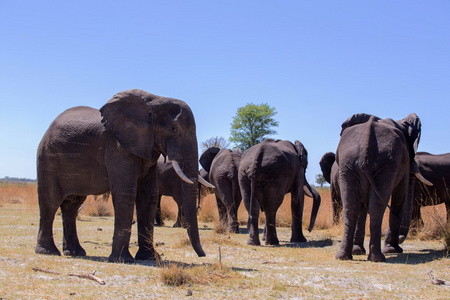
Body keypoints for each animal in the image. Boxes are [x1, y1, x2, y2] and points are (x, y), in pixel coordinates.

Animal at [36, 89, 207, 262]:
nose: (202, 255)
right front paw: (122, 260)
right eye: (174, 129)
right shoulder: (117, 147)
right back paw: (48, 251)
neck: (153, 102)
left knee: (72, 205)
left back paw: (75, 252)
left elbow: (148, 196)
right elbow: (125, 194)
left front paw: (149, 258)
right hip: (47, 157)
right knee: (50, 203)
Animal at [336, 113, 430, 262]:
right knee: (377, 208)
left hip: (349, 164)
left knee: (351, 207)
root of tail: (366, 144)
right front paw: (393, 250)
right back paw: (379, 257)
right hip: (386, 163)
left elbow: (360, 206)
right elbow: (399, 196)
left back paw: (344, 256)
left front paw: (358, 251)